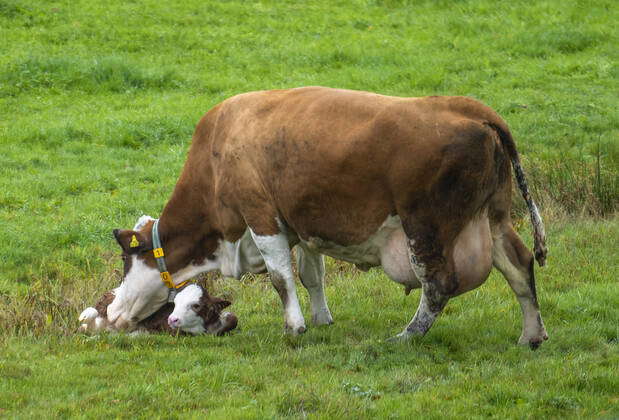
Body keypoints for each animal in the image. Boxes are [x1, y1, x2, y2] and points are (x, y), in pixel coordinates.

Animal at [105, 86, 548, 348]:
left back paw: (405, 336)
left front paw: (295, 327)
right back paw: (531, 335)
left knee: (439, 283)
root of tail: (468, 108)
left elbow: (281, 279)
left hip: (425, 226)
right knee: (519, 265)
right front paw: (321, 319)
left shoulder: (261, 216)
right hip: (493, 216)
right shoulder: (301, 225)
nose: (110, 314)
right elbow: (310, 275)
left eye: (125, 261)